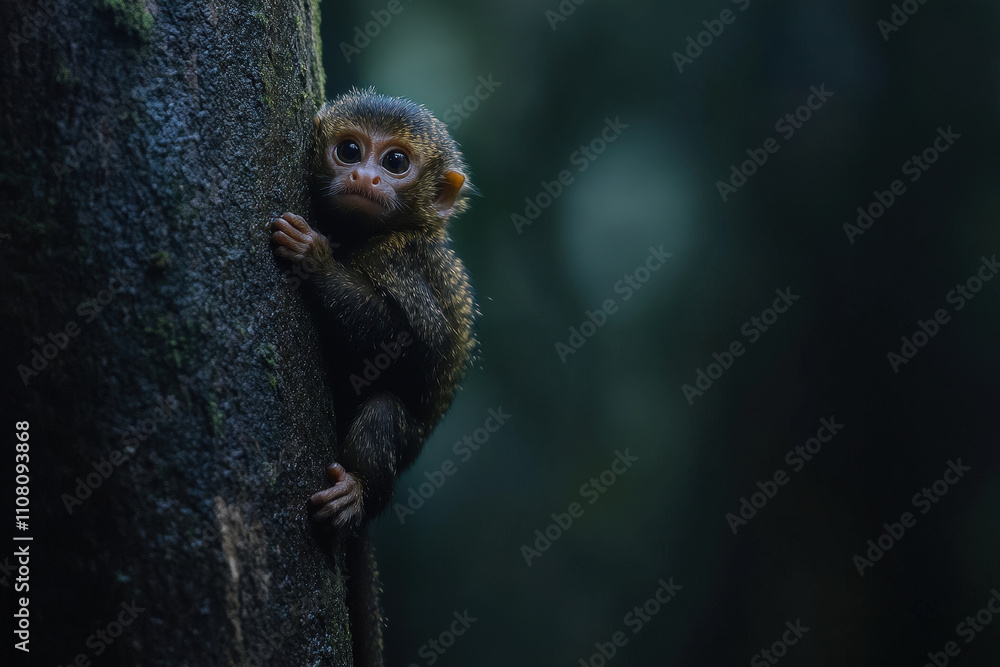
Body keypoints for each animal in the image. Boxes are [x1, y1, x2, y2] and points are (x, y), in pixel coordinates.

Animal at [269, 87, 476, 666]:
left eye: (396, 163)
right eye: (349, 151)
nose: (366, 176)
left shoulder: (401, 260)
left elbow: (405, 344)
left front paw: (315, 261)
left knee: (385, 410)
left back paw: (358, 494)